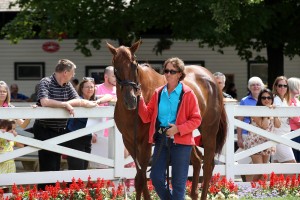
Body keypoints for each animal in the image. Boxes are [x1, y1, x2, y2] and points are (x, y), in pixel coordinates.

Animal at [106, 39, 226, 200]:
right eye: (116, 67)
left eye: (134, 64)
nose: (131, 100)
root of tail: (212, 79)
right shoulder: (129, 142)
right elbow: (140, 177)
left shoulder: (145, 143)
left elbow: (141, 178)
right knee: (196, 160)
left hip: (209, 130)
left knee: (208, 165)